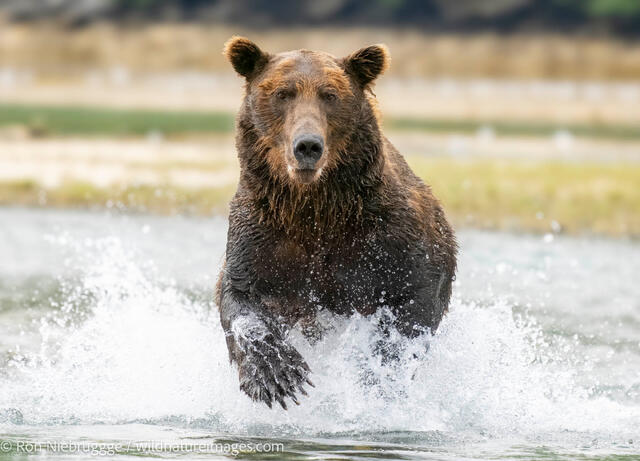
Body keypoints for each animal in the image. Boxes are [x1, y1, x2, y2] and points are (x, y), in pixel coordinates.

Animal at [216, 37, 457, 409]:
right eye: (283, 93)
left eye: (330, 95)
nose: (307, 146)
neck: (317, 208)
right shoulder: (262, 231)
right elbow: (242, 297)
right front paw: (278, 375)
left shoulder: (387, 235)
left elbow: (413, 298)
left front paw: (375, 373)